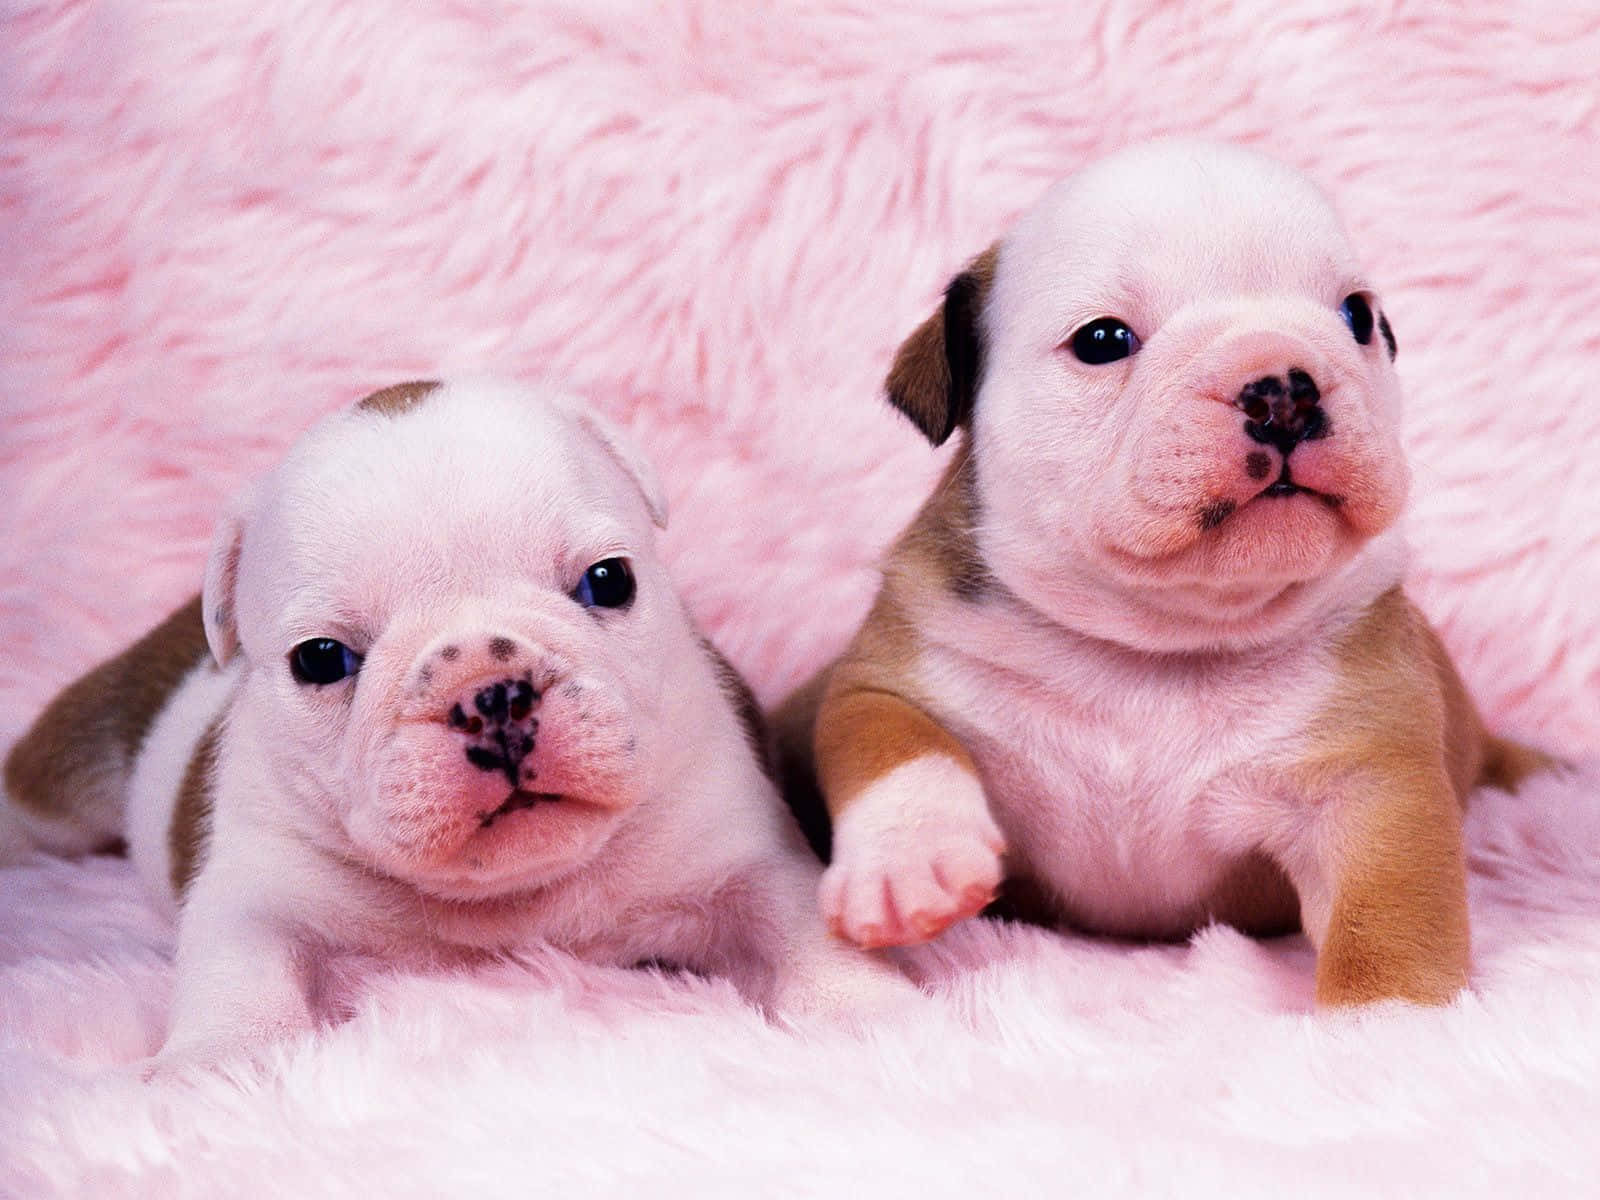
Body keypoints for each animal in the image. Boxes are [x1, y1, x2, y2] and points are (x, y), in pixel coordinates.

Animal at [6, 376, 915, 1062]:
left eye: (608, 580)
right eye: (321, 659)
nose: (491, 694)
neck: (515, 895)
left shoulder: (740, 844)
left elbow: (798, 915)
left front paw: (862, 1008)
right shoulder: (255, 885)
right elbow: (240, 968)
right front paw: (220, 1061)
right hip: (76, 761)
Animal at [774, 136, 1548, 1011]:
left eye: (1358, 318)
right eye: (1104, 340)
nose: (1284, 386)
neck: (1158, 639)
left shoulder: (1368, 782)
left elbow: (1387, 915)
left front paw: (1384, 1021)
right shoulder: (894, 671)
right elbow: (891, 738)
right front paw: (909, 860)